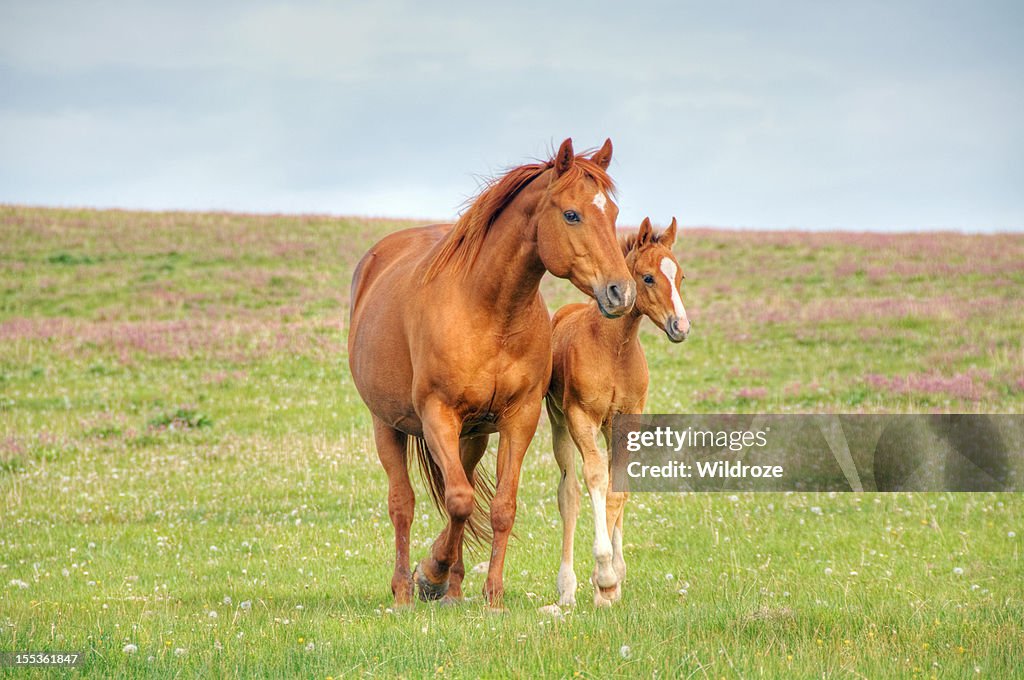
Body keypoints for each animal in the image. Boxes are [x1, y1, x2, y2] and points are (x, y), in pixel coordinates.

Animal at [347, 138, 636, 610]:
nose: (621, 291)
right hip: (387, 424)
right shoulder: (437, 415)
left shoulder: (519, 418)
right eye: (571, 214)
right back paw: (406, 590)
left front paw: (492, 595)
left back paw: (454, 588)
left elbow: (499, 507)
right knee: (403, 503)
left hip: (472, 437)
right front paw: (431, 573)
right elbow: (460, 501)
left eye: (612, 213)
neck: (490, 310)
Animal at [544, 216, 690, 607]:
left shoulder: (628, 420)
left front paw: (610, 583)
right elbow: (595, 478)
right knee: (569, 493)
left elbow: (618, 486)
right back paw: (566, 588)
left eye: (681, 276)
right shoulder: (580, 417)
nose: (681, 327)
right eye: (649, 277)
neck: (613, 348)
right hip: (559, 423)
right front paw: (604, 574)